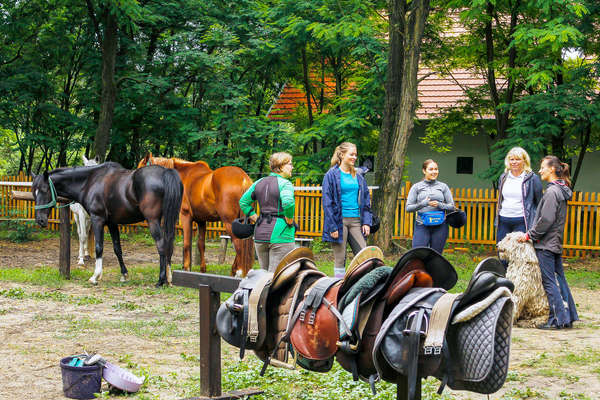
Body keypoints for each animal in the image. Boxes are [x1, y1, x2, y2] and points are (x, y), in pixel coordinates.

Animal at [31, 162, 182, 288]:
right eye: (34, 192)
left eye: (44, 190)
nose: (40, 220)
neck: (90, 182)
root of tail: (165, 172)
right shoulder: (112, 223)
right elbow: (117, 249)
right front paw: (124, 275)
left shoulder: (97, 219)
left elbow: (99, 247)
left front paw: (95, 276)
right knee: (169, 244)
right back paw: (168, 278)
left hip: (153, 221)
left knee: (161, 245)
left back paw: (161, 280)